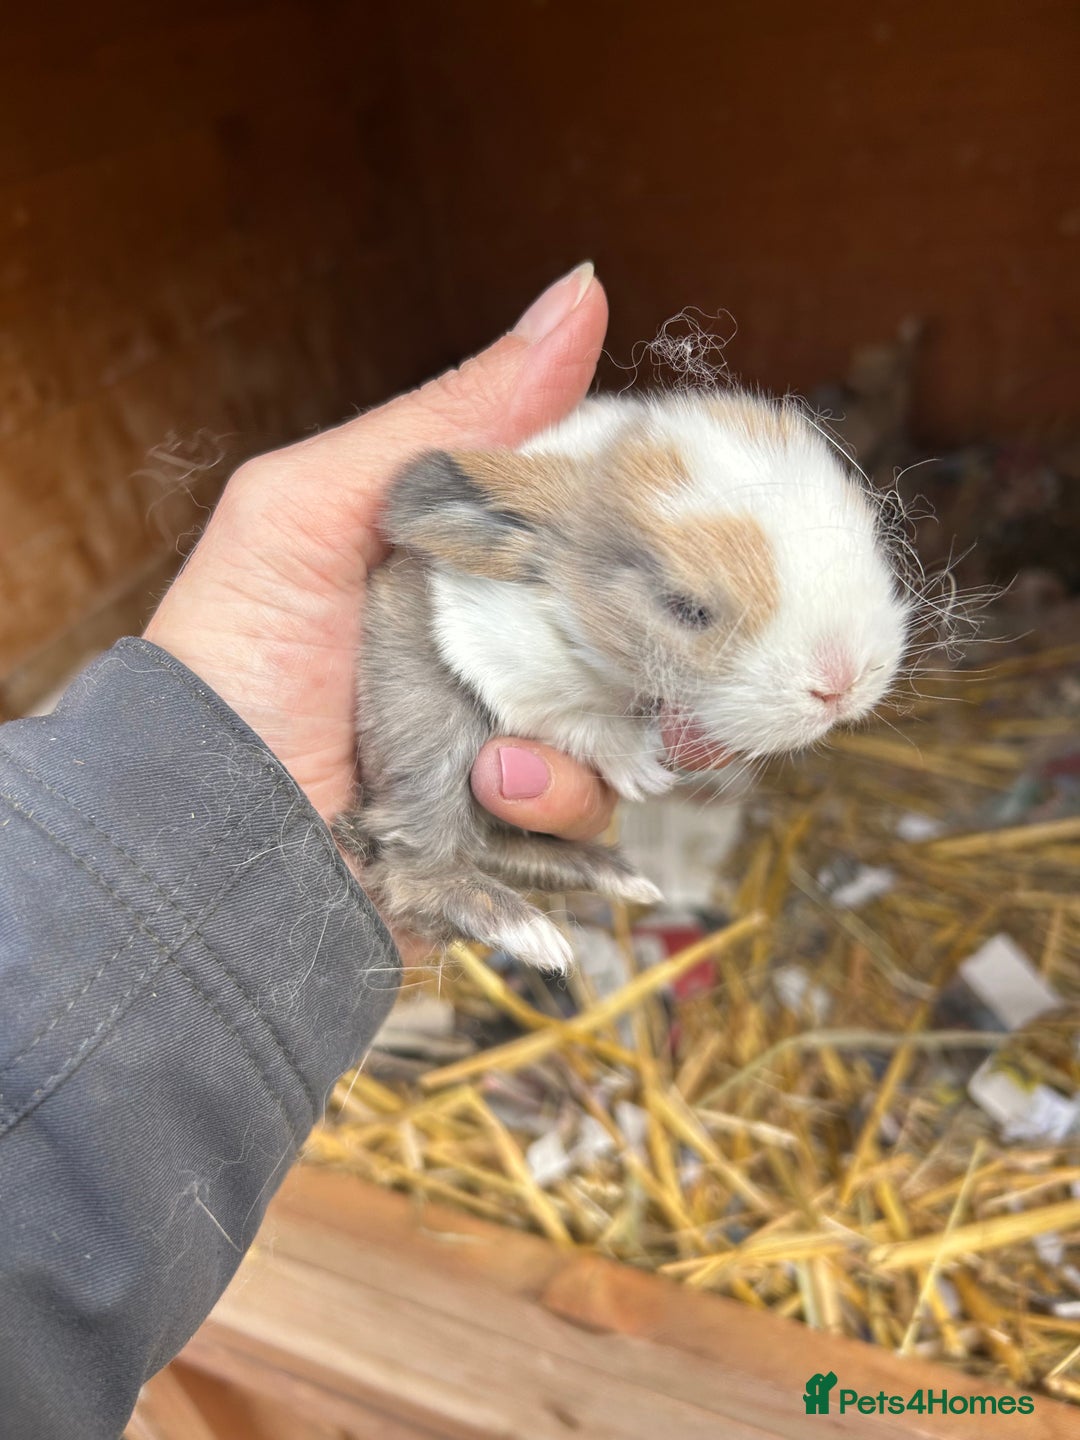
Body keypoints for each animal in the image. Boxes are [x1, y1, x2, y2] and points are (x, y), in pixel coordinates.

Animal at [335, 389, 915, 972]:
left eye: (871, 539)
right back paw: (536, 936)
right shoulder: (507, 666)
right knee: (415, 869)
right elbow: (578, 721)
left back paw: (622, 879)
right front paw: (645, 772)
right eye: (687, 609)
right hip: (429, 742)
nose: (842, 683)